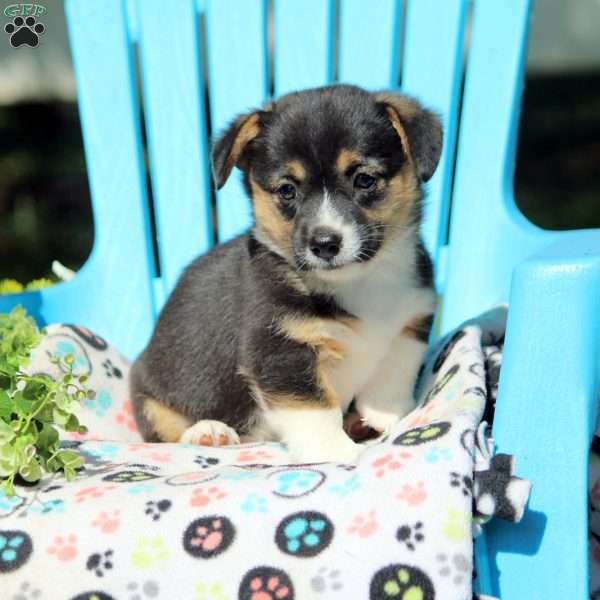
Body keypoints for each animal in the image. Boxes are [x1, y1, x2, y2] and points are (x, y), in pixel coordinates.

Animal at [130, 83, 440, 464]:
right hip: (150, 395)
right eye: (287, 190)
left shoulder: (412, 321)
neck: (357, 281)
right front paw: (336, 452)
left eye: (365, 179)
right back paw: (208, 433)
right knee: (165, 430)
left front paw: (386, 416)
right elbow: (316, 409)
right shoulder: (281, 349)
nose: (325, 244)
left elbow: (394, 372)